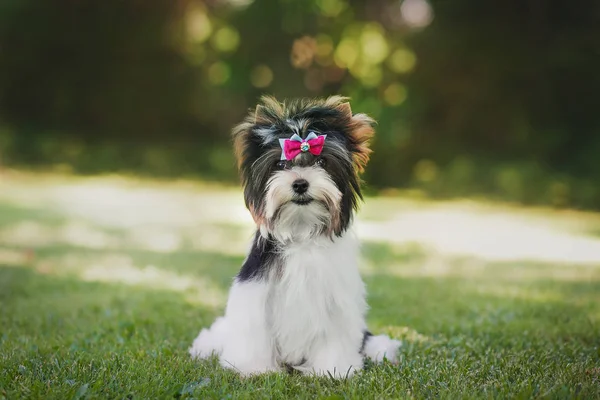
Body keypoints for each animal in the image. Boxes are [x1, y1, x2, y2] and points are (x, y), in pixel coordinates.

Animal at [190, 95, 400, 376]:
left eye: (322, 162)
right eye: (280, 164)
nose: (300, 183)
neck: (301, 232)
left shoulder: (335, 301)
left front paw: (333, 369)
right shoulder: (257, 295)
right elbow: (255, 332)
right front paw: (254, 369)